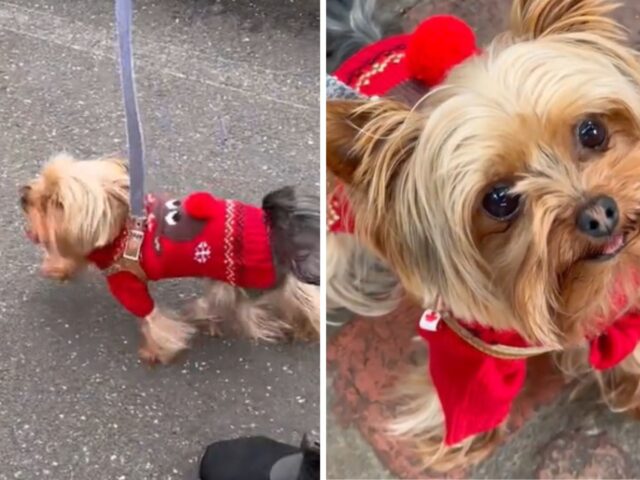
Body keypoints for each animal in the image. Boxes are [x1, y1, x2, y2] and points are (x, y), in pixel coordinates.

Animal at [20, 154, 320, 364]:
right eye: (42, 180)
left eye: (55, 203)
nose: (24, 195)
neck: (120, 228)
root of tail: (277, 232)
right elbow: (72, 256)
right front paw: (57, 268)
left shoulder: (126, 282)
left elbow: (153, 319)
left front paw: (156, 351)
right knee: (296, 294)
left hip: (237, 277)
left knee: (240, 306)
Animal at [330, 0, 640, 472]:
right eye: (499, 200)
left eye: (592, 131)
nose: (600, 215)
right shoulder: (467, 342)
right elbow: (466, 393)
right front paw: (458, 440)